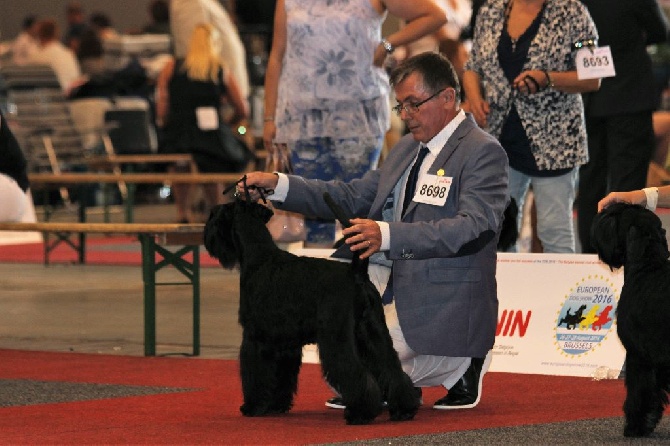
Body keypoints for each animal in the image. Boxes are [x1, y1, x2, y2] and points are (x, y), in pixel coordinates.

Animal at [203, 184, 420, 426]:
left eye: (215, 215)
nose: (207, 234)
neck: (259, 257)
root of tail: (356, 273)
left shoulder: (255, 336)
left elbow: (256, 374)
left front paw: (253, 406)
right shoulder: (285, 343)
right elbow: (282, 377)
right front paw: (277, 405)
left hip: (337, 339)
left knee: (355, 372)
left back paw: (360, 413)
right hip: (374, 334)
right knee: (391, 369)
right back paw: (403, 409)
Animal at [592, 204, 670, 438]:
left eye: (613, 214)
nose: (598, 218)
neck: (647, 266)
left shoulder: (638, 356)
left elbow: (639, 395)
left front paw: (635, 427)